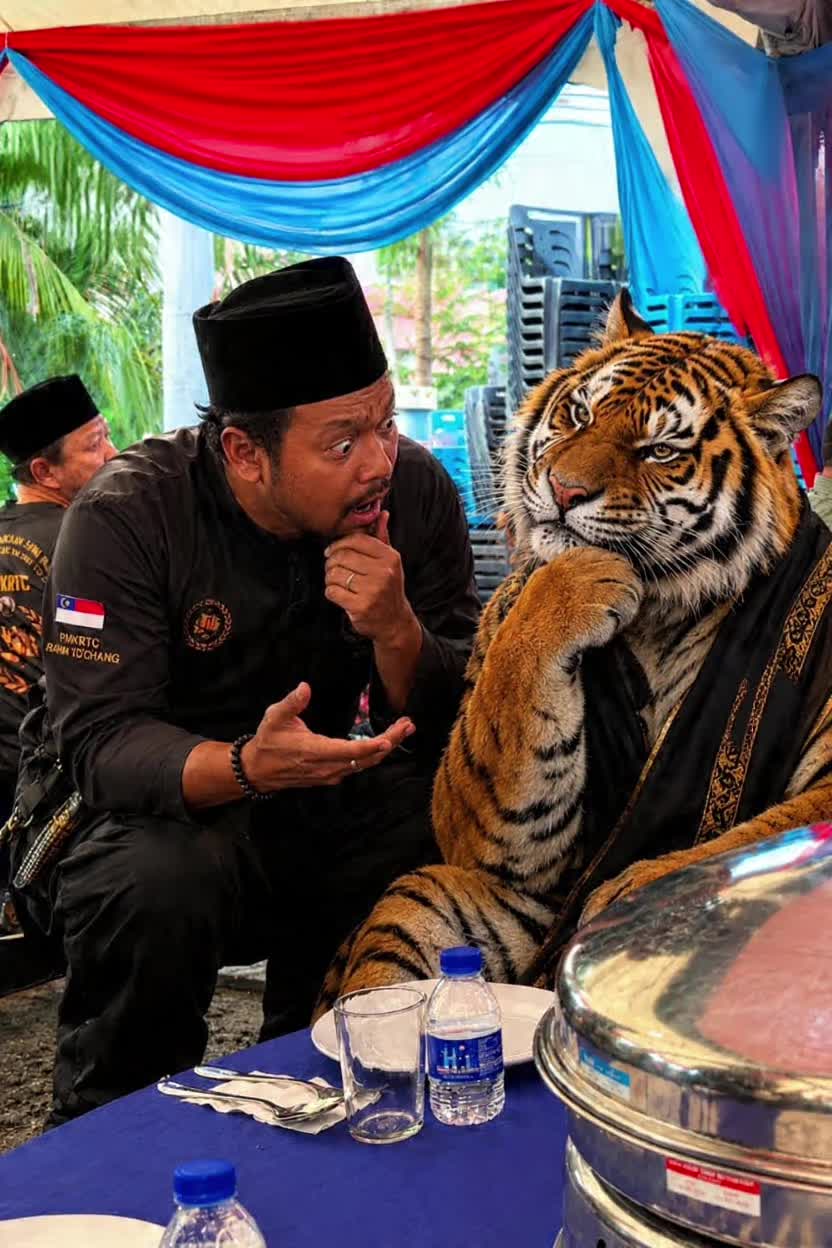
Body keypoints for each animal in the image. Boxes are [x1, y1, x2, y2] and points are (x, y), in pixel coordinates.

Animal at [315, 289, 832, 1011]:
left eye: (660, 449)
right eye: (581, 413)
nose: (563, 490)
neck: (661, 611)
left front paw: (641, 892)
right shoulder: (504, 843)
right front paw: (573, 585)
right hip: (439, 905)